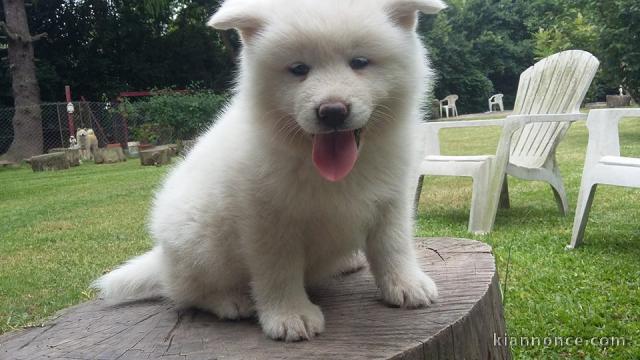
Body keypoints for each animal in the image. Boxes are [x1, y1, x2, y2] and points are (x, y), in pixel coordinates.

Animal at [95, 0, 444, 344]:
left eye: (359, 62)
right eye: (299, 69)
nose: (332, 111)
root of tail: (162, 259)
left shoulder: (391, 199)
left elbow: (393, 245)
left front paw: (406, 284)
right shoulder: (268, 220)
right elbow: (278, 270)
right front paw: (290, 315)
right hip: (198, 241)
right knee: (186, 292)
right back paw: (230, 300)